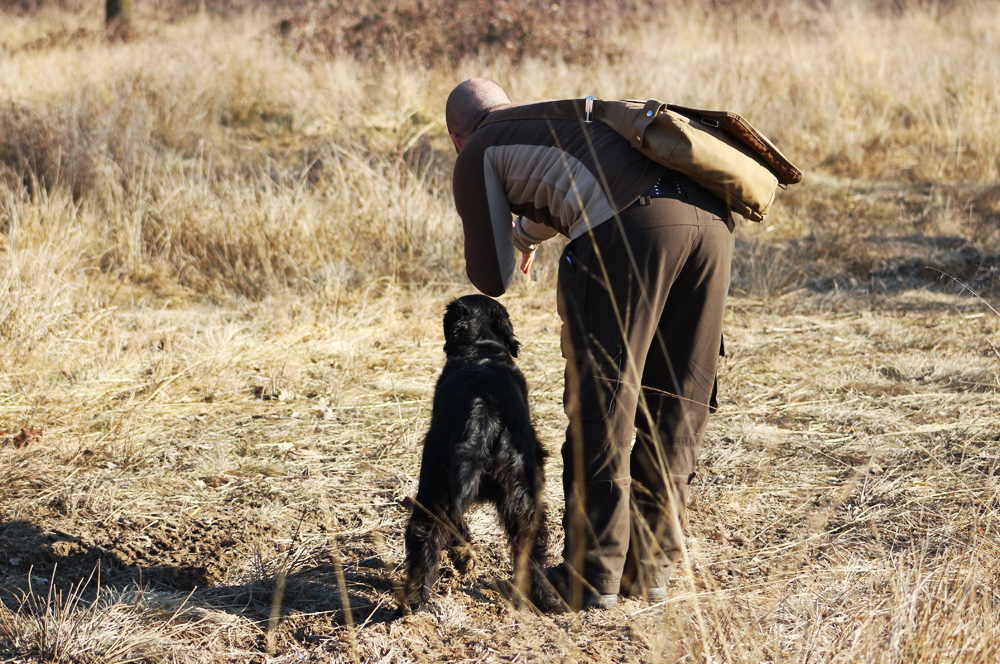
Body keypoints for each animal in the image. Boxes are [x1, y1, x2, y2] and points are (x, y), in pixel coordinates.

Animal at [402, 296, 560, 612]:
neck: (481, 350)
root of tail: (482, 412)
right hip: (521, 494)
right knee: (531, 548)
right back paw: (548, 599)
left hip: (435, 479)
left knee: (424, 532)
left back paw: (412, 602)